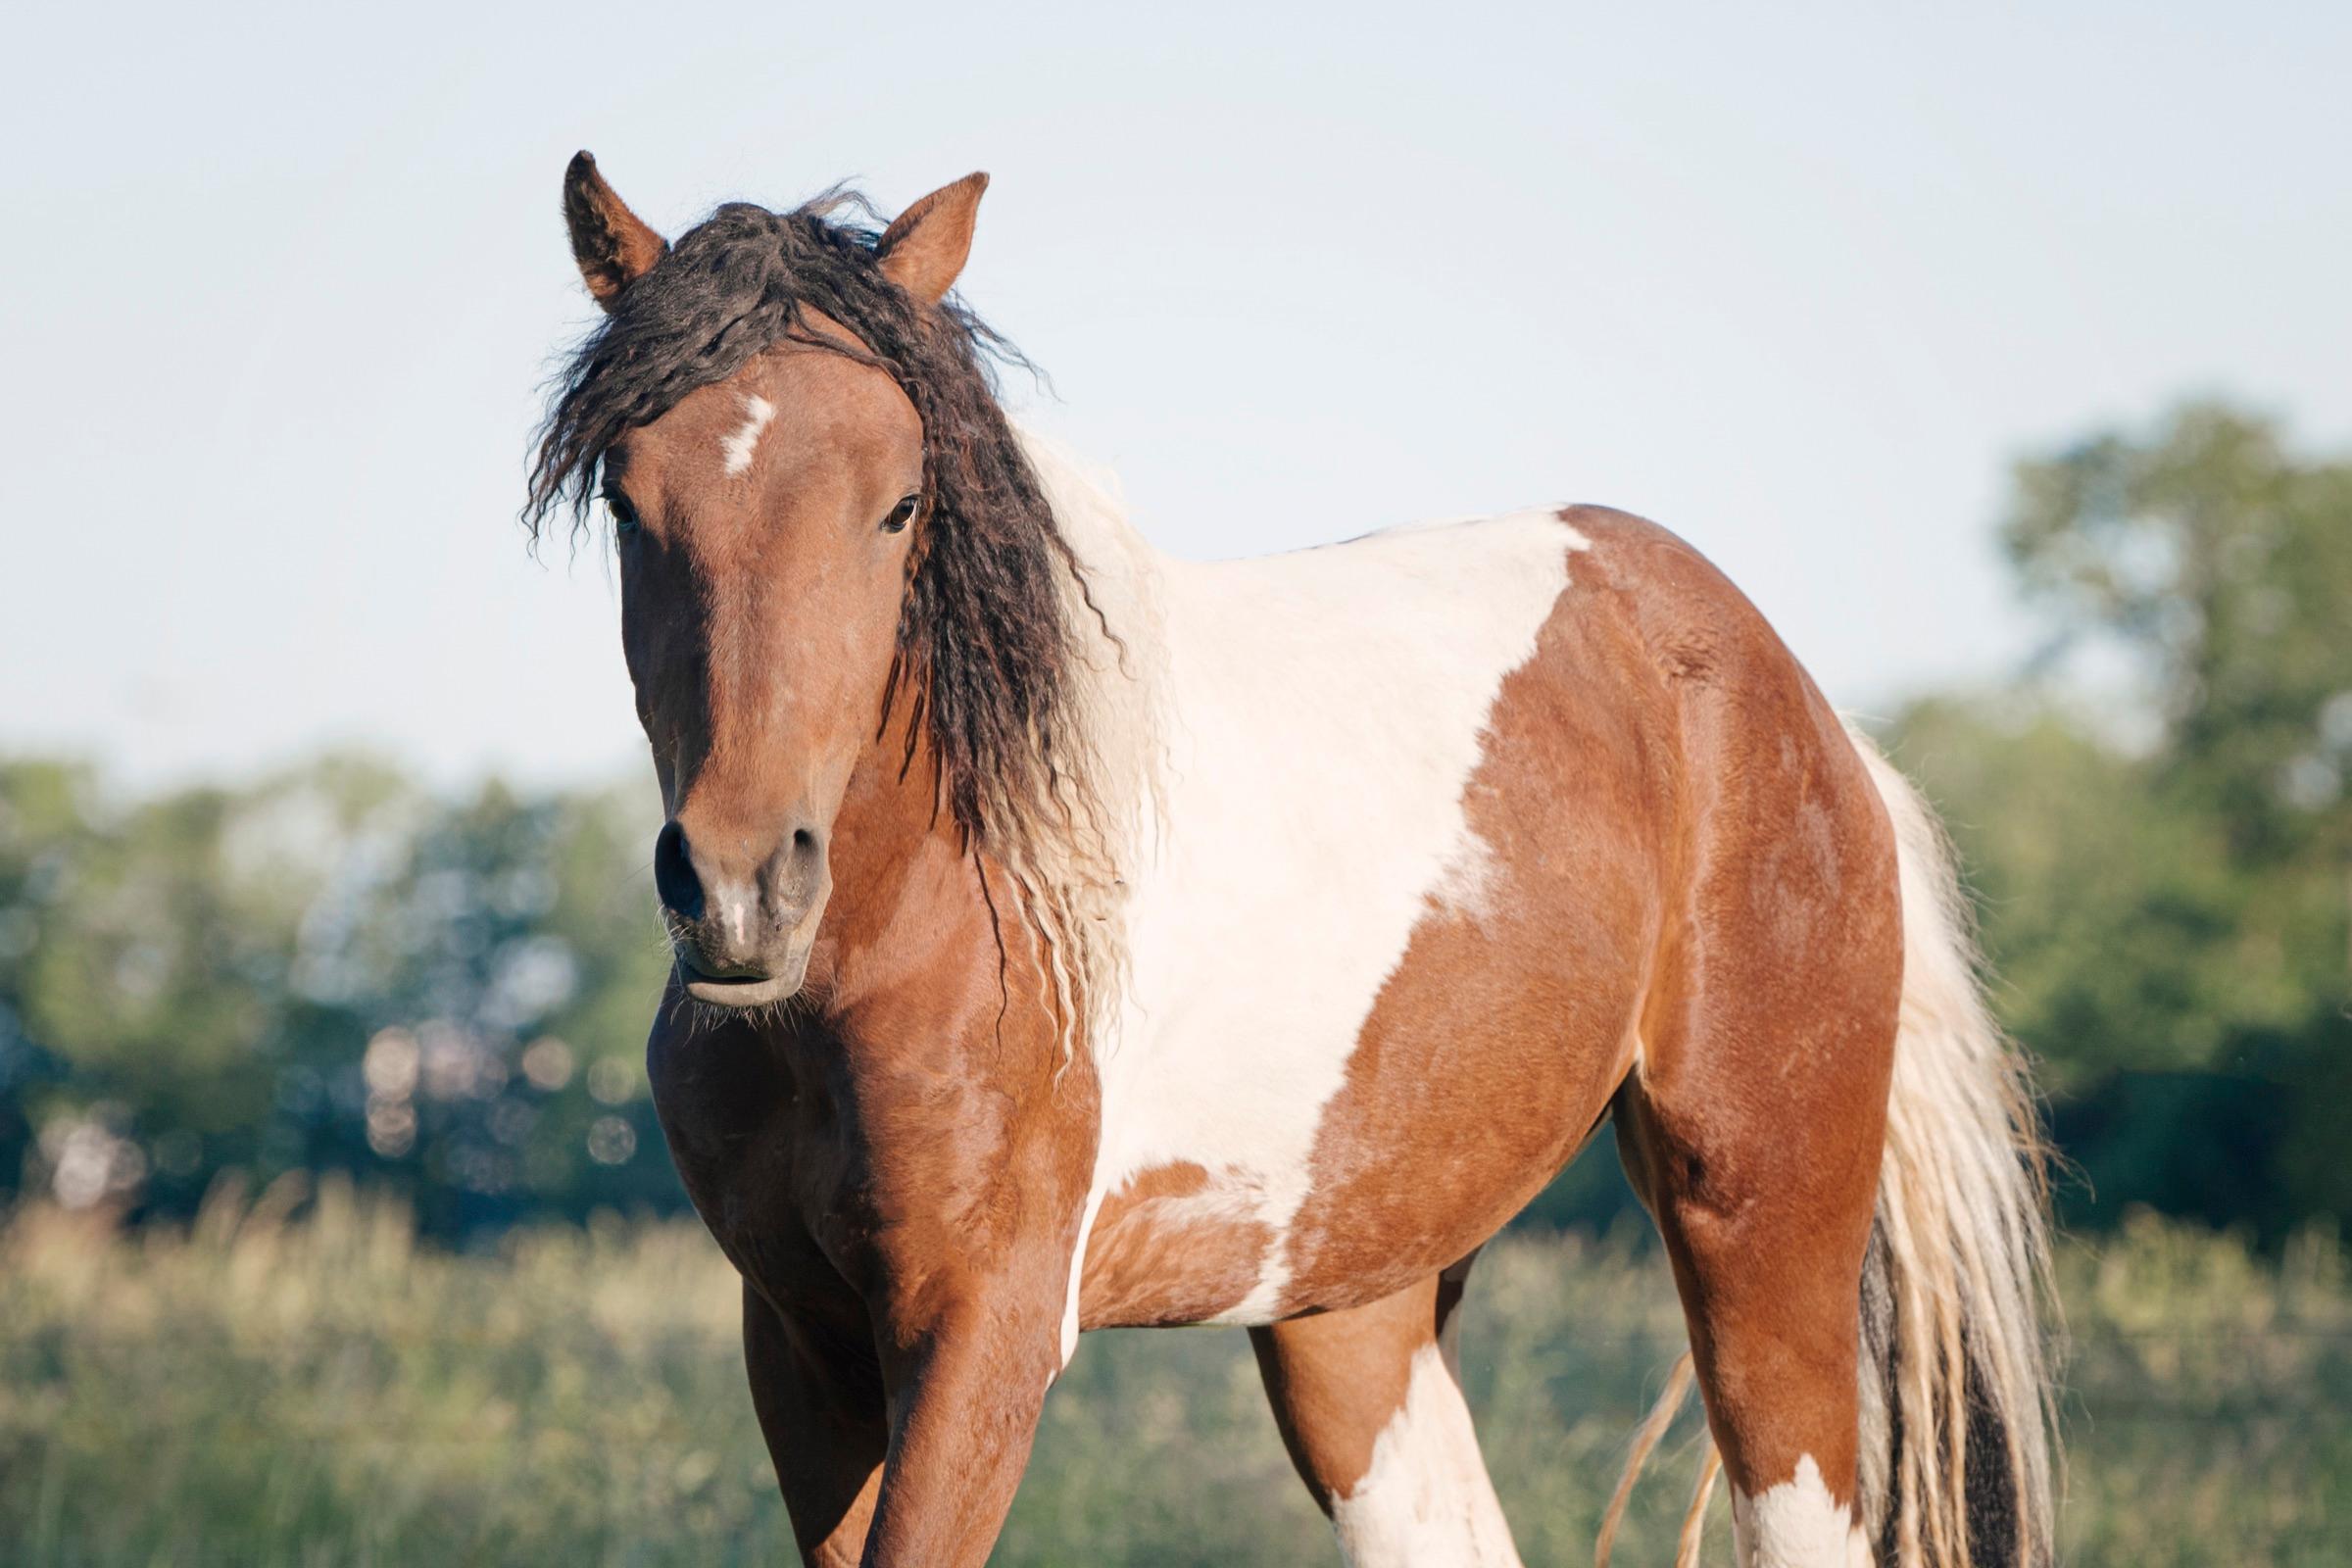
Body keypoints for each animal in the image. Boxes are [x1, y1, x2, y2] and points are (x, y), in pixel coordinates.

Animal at [525, 154, 2057, 1568]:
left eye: (901, 505)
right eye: (628, 501)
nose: (739, 892)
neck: (925, 926)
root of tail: (1806, 714)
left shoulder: (979, 1339)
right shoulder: (802, 1346)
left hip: (1761, 1236)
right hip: (1356, 1313)